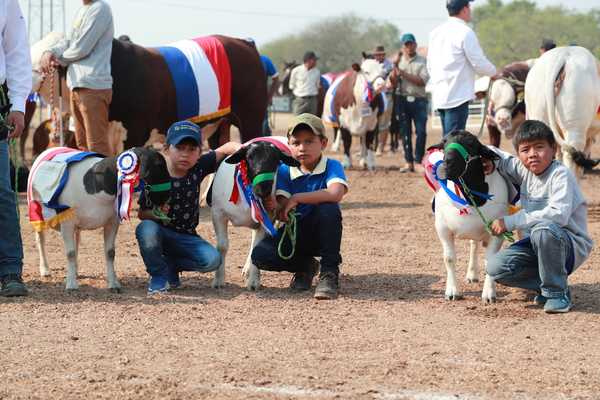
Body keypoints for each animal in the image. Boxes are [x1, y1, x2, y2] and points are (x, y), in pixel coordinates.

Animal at [30, 147, 171, 290]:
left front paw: (113, 284)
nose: (167, 195)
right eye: (159, 165)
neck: (97, 183)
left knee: (77, 240)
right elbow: (70, 253)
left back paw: (75, 270)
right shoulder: (67, 222)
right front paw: (71, 285)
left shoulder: (112, 222)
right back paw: (45, 270)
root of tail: (51, 149)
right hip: (37, 212)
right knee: (41, 240)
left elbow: (110, 253)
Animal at [210, 138, 298, 290]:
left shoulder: (267, 219)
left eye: (276, 159)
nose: (264, 188)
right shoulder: (218, 214)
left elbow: (256, 249)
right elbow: (222, 246)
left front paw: (253, 282)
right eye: (249, 157)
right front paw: (218, 280)